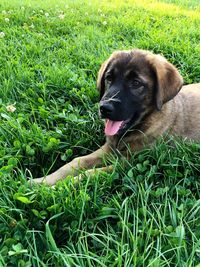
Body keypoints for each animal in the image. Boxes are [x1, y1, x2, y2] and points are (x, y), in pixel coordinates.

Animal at [32, 49, 200, 185]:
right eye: (109, 78)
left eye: (136, 83)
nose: (104, 108)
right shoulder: (109, 149)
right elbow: (76, 162)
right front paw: (42, 181)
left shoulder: (131, 162)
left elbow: (90, 173)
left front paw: (61, 186)